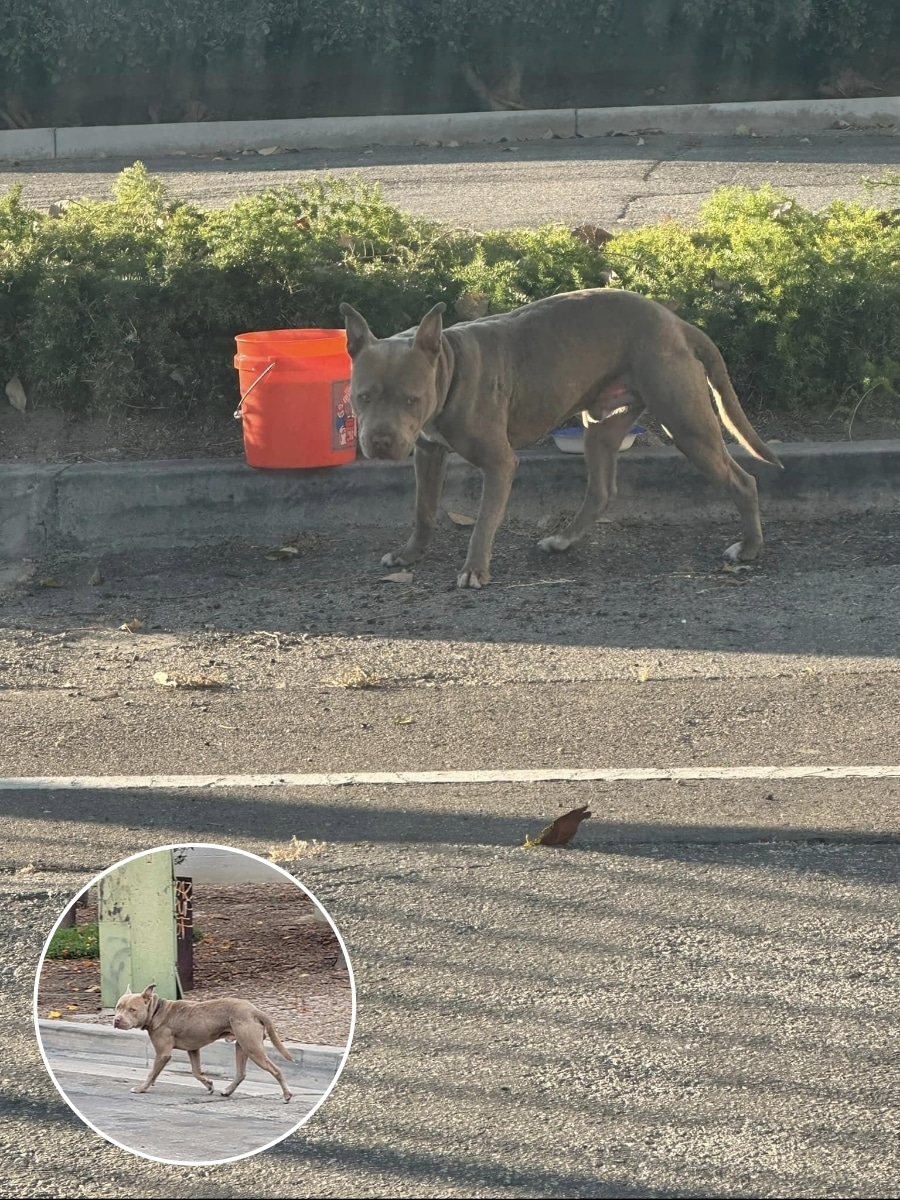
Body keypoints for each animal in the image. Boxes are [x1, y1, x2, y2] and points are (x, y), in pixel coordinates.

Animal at [113, 983, 294, 1102]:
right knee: (241, 1073)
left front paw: (141, 1088)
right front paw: (209, 1085)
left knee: (276, 1070)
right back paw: (227, 1091)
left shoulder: (163, 1054)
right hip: (242, 1046)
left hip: (252, 1048)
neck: (157, 1010)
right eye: (117, 1007)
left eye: (132, 1010)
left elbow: (152, 1074)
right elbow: (196, 1071)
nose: (116, 1020)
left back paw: (286, 1095)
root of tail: (255, 1010)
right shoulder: (193, 1049)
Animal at [340, 289, 782, 588]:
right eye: (363, 397)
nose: (380, 442)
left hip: (688, 426)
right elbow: (423, 509)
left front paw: (474, 569)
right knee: (601, 490)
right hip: (600, 427)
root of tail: (677, 322)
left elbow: (484, 521)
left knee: (744, 481)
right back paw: (563, 541)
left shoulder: (500, 463)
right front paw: (410, 554)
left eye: (411, 399)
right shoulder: (428, 452)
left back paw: (748, 549)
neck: (449, 364)